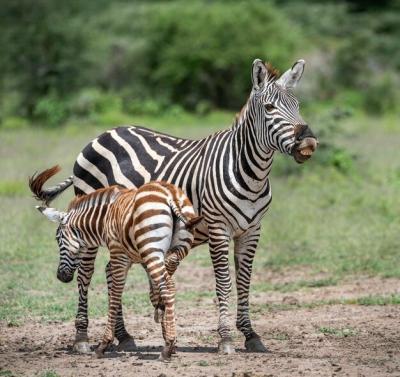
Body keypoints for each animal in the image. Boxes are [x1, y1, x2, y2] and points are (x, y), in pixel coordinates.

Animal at [30, 167, 203, 358]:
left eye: (58, 239)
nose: (61, 276)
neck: (104, 217)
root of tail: (170, 195)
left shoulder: (118, 254)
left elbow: (115, 293)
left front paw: (104, 344)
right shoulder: (142, 259)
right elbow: (153, 292)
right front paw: (164, 326)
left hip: (152, 249)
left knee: (169, 286)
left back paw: (166, 349)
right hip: (175, 248)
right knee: (168, 281)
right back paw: (169, 343)